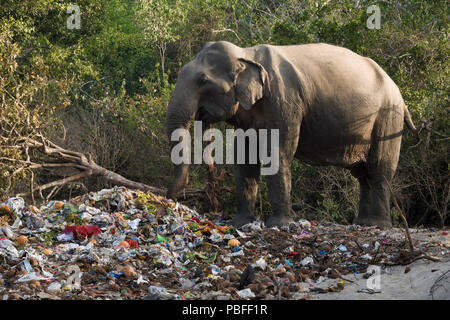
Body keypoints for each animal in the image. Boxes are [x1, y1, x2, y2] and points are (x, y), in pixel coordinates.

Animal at [166, 41, 418, 229]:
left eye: (203, 81)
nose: (172, 199)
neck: (247, 54)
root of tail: (397, 89)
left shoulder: (284, 101)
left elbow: (276, 154)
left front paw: (279, 224)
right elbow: (246, 159)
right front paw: (239, 223)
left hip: (388, 116)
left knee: (379, 168)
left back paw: (378, 225)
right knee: (363, 173)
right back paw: (363, 223)